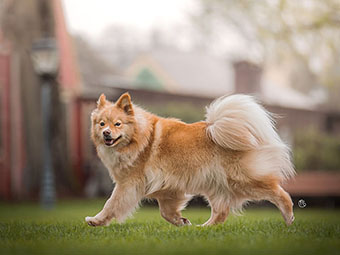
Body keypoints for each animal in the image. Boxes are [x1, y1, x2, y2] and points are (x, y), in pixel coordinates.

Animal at [85, 92, 294, 226]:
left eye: (117, 124)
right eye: (101, 123)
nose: (106, 133)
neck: (139, 138)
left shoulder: (129, 184)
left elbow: (111, 204)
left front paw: (96, 220)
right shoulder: (168, 190)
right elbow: (166, 212)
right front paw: (181, 222)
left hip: (241, 180)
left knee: (279, 193)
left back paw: (289, 217)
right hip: (216, 186)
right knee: (221, 212)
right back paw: (205, 228)